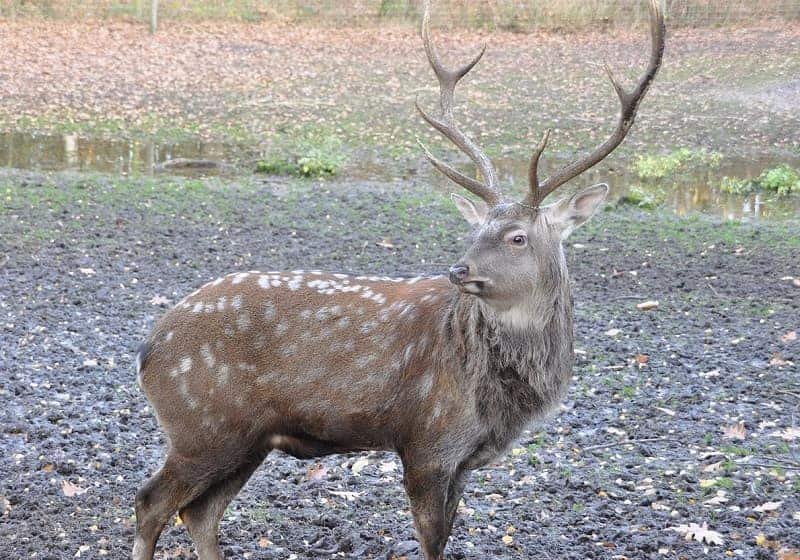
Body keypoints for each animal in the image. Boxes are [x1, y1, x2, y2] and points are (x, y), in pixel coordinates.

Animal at [133, 2, 664, 556]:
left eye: (517, 237)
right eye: (474, 229)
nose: (459, 270)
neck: (497, 402)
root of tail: (147, 350)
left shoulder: (463, 459)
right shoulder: (428, 439)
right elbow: (432, 540)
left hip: (246, 437)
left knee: (199, 512)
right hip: (202, 424)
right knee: (151, 502)